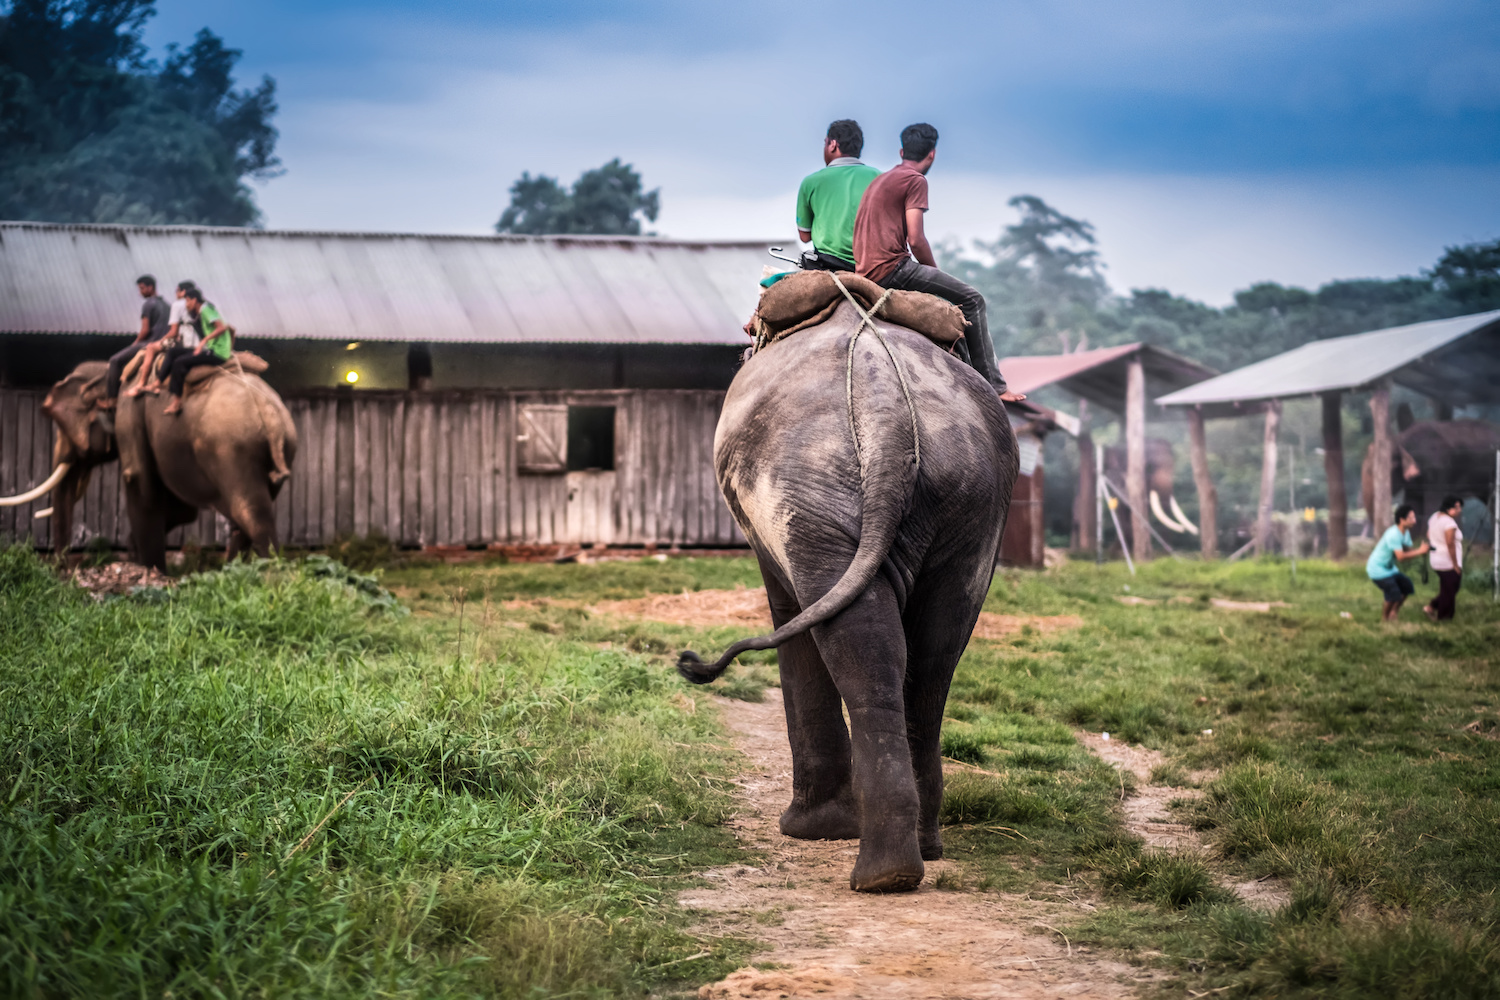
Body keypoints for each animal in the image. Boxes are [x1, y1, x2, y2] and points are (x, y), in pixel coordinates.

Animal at [0, 358, 298, 569]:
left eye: (64, 428)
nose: (62, 571)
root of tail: (270, 413)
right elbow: (183, 509)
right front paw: (135, 553)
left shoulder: (130, 418)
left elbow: (138, 483)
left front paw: (152, 569)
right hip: (277, 450)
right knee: (246, 513)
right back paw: (233, 571)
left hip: (232, 451)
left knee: (249, 512)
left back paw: (267, 573)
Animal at [678, 295, 1020, 893]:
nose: (689, 659)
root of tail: (886, 412)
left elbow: (791, 613)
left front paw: (810, 832)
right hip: (972, 498)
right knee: (932, 653)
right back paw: (912, 858)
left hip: (810, 490)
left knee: (856, 642)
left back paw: (876, 870)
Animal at [1362, 419, 1500, 536]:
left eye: (1373, 473)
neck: (1401, 440)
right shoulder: (1413, 485)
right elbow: (1413, 503)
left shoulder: (1437, 470)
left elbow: (1433, 504)